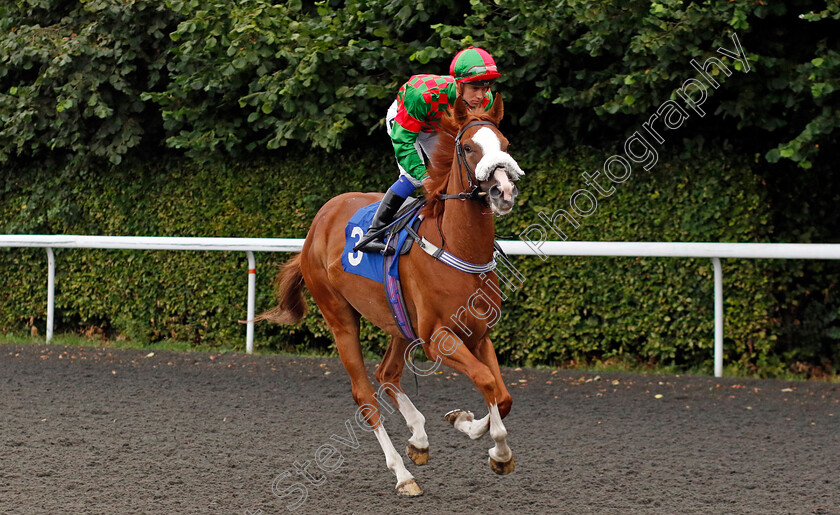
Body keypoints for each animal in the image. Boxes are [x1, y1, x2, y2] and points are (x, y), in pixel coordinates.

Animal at [260, 94, 524, 498]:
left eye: (506, 145)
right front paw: (478, 433)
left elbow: (500, 393)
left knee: (387, 373)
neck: (458, 248)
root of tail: (319, 221)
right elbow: (486, 381)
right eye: (467, 147)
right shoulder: (437, 339)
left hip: (399, 321)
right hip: (339, 317)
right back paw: (403, 474)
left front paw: (481, 438)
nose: (503, 192)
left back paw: (418, 438)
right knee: (366, 396)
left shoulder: (478, 334)